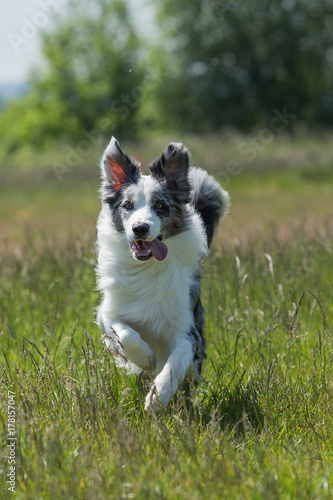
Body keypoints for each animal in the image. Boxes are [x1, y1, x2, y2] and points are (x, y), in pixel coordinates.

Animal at [94, 136, 227, 410]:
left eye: (159, 205)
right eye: (127, 205)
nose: (140, 228)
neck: (146, 267)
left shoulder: (187, 331)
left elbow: (176, 361)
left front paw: (158, 396)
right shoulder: (108, 313)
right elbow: (126, 334)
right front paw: (146, 358)